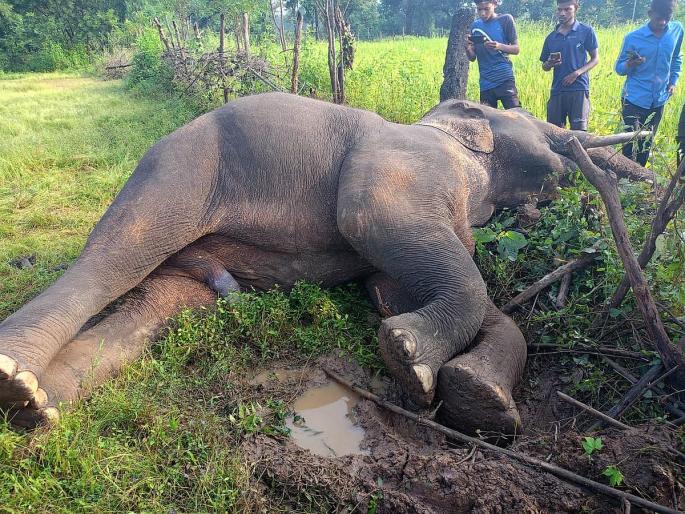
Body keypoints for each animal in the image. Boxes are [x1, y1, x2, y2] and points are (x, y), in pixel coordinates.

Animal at [0, 92, 652, 432]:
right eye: (541, 126)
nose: (570, 159)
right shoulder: (406, 159)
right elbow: (373, 221)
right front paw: (410, 361)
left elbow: (397, 286)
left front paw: (479, 399)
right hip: (181, 170)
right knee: (115, 257)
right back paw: (14, 380)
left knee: (157, 304)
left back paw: (37, 404)